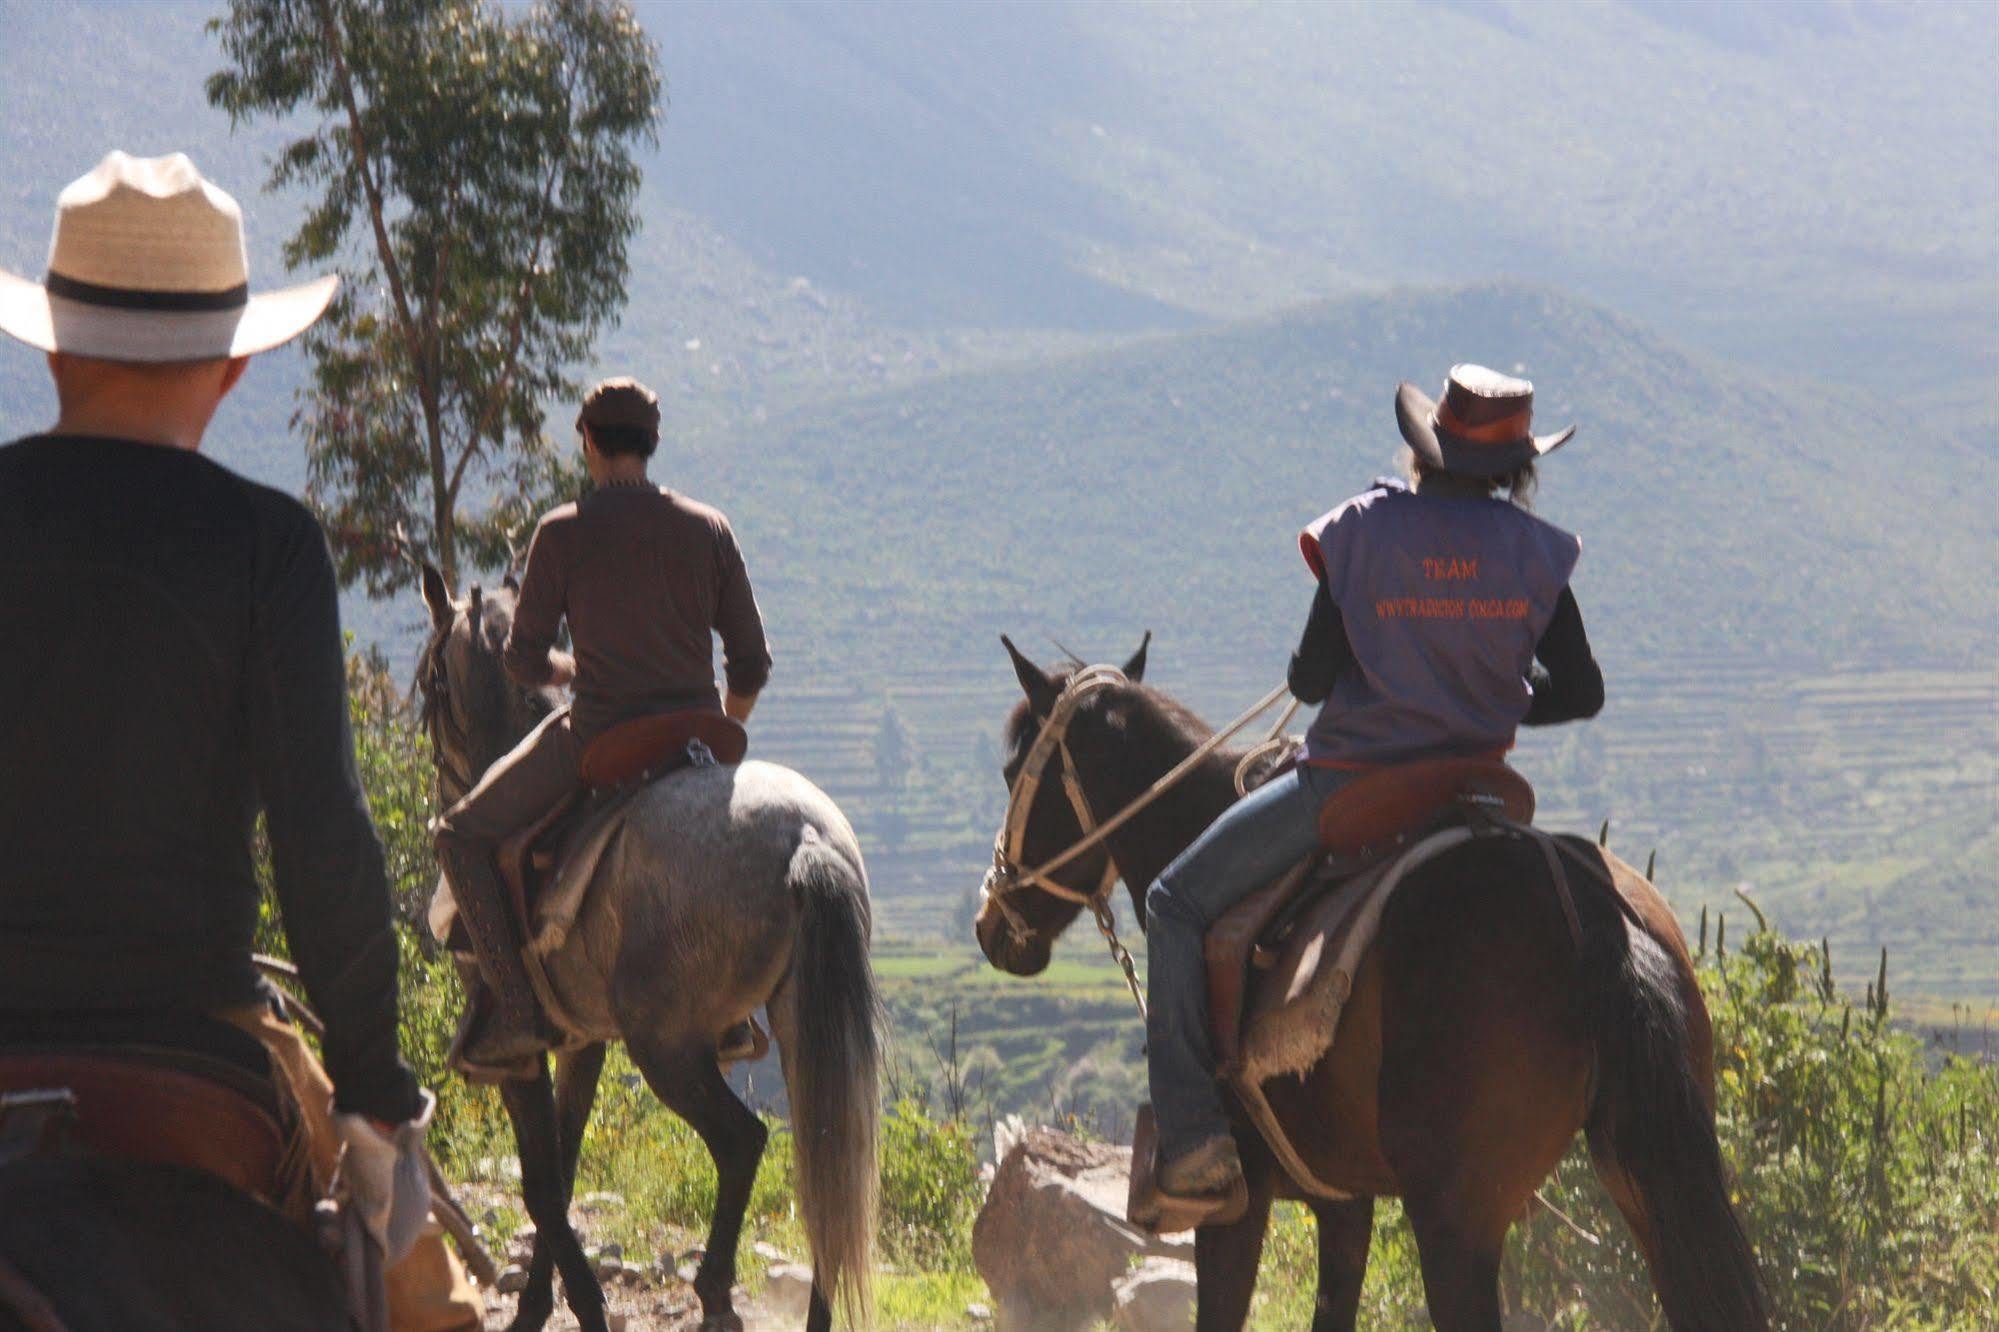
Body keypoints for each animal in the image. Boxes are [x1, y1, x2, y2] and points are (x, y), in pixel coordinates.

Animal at [413, 568, 883, 1328]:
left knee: (742, 1142)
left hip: (666, 1046)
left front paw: (576, 1304)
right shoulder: (580, 1041)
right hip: (801, 1023)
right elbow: (563, 1169)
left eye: (431, 678)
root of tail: (805, 838)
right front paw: (542, 1300)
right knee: (825, 1165)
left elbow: (541, 1185)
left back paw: (715, 1290)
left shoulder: (517, 1052)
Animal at [967, 640, 1767, 1320]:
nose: (989, 922)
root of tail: (1589, 906)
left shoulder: (1239, 1208)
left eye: (1012, 774)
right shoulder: (1344, 1203)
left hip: (1456, 1220)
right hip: (1646, 1181)